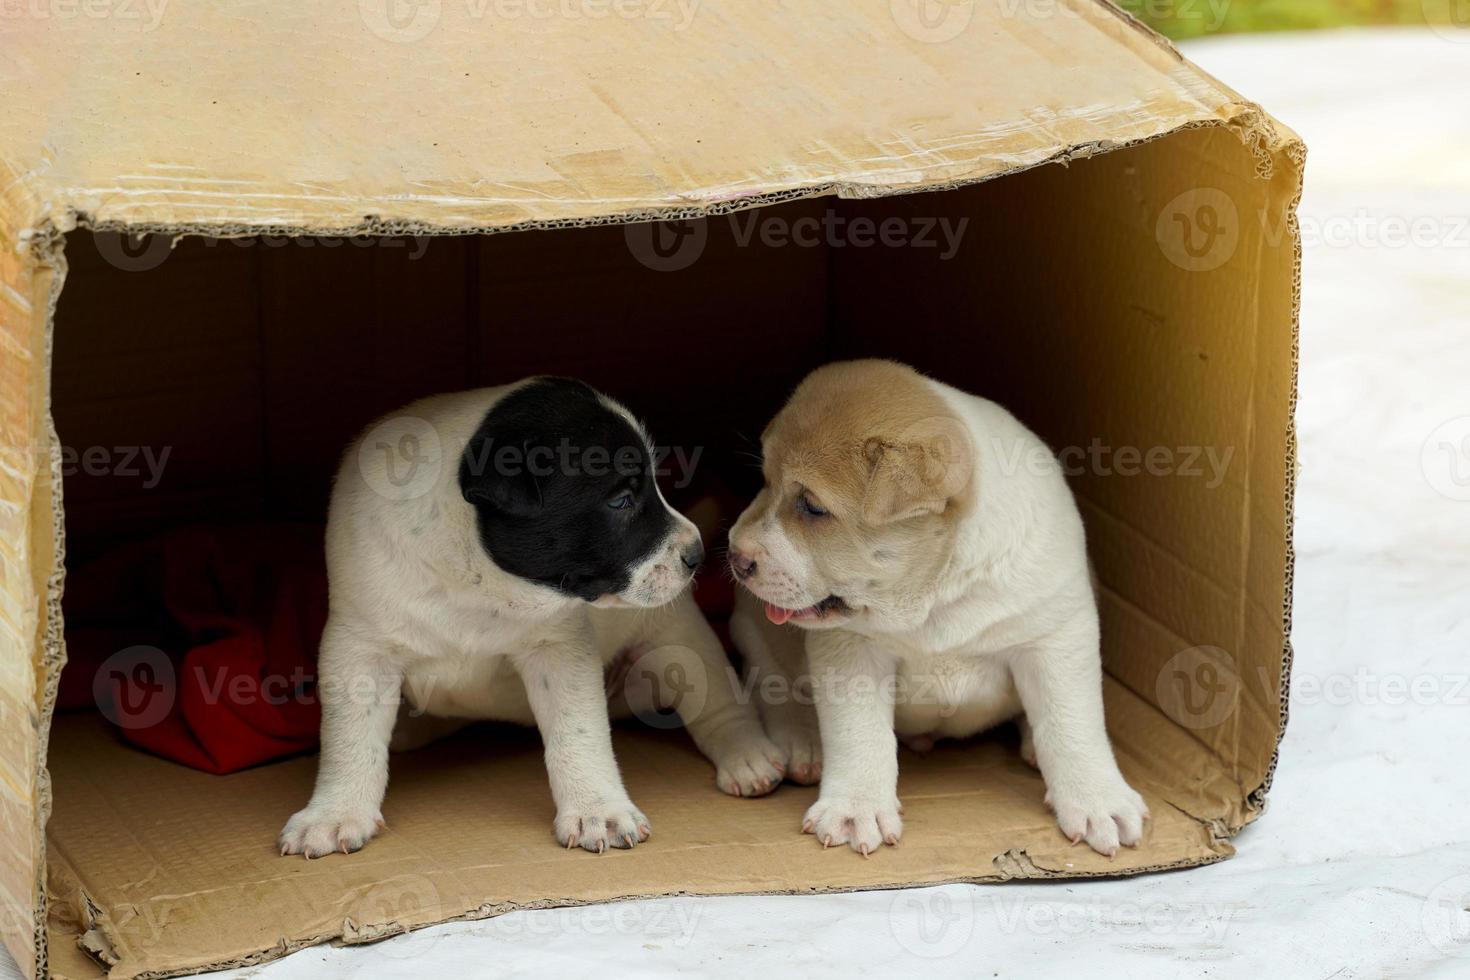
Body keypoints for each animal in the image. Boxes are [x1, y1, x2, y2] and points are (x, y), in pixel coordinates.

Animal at [276, 379, 782, 852]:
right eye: (621, 500)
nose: (696, 554)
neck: (474, 575)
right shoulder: (360, 647)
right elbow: (350, 737)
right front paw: (335, 812)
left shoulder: (559, 648)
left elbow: (578, 734)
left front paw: (598, 810)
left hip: (678, 638)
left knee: (716, 700)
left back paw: (748, 757)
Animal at [729, 359, 1152, 858]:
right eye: (765, 482)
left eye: (813, 507)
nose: (734, 555)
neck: (934, 594)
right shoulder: (851, 650)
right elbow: (859, 733)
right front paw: (856, 809)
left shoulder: (1057, 637)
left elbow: (1074, 724)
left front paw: (1098, 800)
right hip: (754, 629)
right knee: (770, 683)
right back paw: (803, 744)